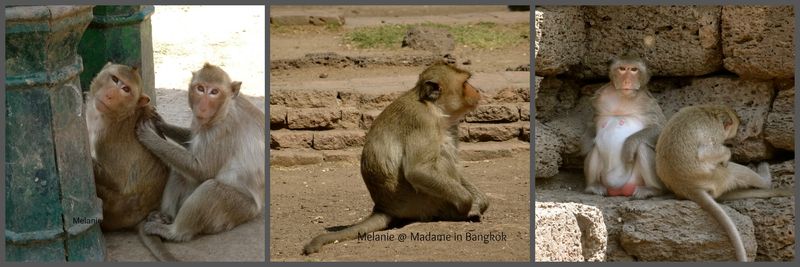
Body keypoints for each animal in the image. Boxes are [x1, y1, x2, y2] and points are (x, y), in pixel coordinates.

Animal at [85, 63, 176, 262]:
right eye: (114, 79)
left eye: (126, 89)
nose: (110, 94)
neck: (119, 115)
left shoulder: (106, 139)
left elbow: (115, 181)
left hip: (117, 211)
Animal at [136, 62, 264, 255]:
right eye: (200, 88)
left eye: (214, 92)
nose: (202, 107)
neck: (225, 108)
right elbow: (191, 142)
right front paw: (160, 122)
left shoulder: (223, 130)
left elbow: (202, 170)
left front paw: (149, 136)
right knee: (179, 172)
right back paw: (166, 217)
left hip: (240, 209)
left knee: (211, 188)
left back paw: (175, 232)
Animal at [300, 62, 488, 255]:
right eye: (465, 83)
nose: (477, 90)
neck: (434, 109)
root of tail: (383, 207)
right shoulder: (421, 121)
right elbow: (417, 171)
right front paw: (466, 204)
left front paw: (481, 201)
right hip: (423, 202)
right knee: (440, 161)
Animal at [580, 53, 668, 199]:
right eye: (622, 69)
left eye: (634, 70)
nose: (627, 81)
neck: (623, 97)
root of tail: (618, 190)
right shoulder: (599, 97)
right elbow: (592, 122)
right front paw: (584, 145)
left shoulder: (648, 102)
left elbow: (660, 128)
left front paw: (629, 145)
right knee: (595, 148)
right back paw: (592, 187)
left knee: (642, 146)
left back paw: (652, 189)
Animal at [656, 104, 792, 262]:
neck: (710, 110)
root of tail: (687, 187)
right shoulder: (715, 132)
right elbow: (705, 153)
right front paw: (726, 155)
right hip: (716, 177)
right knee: (734, 170)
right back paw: (765, 181)